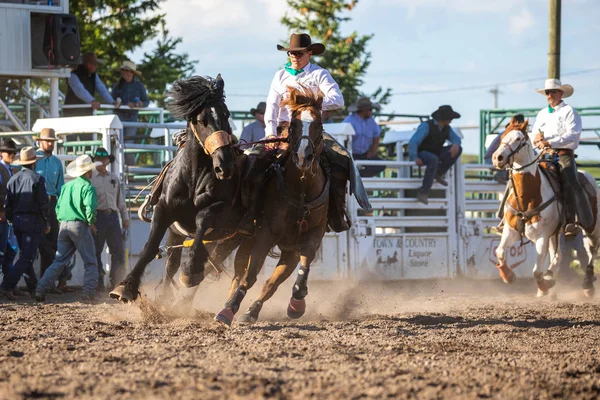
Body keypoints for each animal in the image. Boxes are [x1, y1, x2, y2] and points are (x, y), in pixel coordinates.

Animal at [110, 73, 244, 302]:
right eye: (201, 120)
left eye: (226, 115)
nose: (225, 164)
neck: (193, 178)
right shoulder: (164, 210)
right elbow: (150, 248)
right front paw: (126, 286)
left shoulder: (222, 210)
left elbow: (203, 219)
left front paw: (191, 269)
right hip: (177, 232)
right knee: (172, 264)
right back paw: (164, 297)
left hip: (229, 239)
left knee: (211, 262)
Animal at [214, 86, 330, 326]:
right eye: (293, 124)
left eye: (319, 124)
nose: (303, 156)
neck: (302, 189)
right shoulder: (265, 234)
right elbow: (250, 275)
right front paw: (229, 308)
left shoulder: (312, 236)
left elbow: (302, 268)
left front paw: (297, 301)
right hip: (245, 239)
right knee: (239, 273)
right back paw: (228, 306)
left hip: (280, 249)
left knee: (270, 283)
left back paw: (253, 311)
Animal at [490, 117, 596, 296]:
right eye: (503, 135)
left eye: (519, 138)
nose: (498, 157)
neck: (527, 196)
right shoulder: (511, 230)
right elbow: (500, 252)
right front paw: (509, 276)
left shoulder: (542, 236)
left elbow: (536, 271)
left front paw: (544, 286)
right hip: (555, 234)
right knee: (558, 257)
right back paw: (551, 279)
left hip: (591, 227)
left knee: (592, 250)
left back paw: (587, 283)